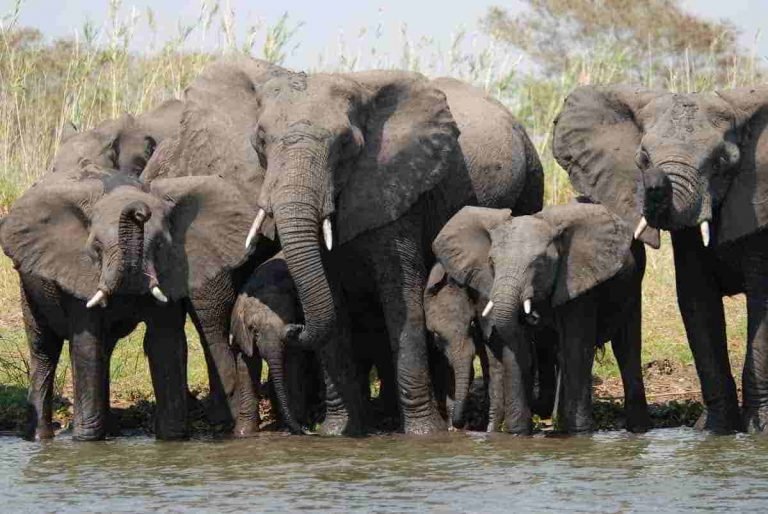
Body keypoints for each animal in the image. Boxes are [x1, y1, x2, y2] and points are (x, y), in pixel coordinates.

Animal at [0, 162, 258, 440]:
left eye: (160, 245)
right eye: (97, 247)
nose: (140, 211)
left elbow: (165, 343)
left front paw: (172, 439)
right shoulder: (80, 274)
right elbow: (86, 344)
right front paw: (87, 441)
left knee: (104, 348)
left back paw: (111, 432)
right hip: (28, 285)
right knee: (44, 349)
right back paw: (40, 437)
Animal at [210, 56, 543, 435]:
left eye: (345, 143)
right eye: (261, 141)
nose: (294, 327)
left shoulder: (396, 187)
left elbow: (402, 298)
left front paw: (425, 435)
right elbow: (331, 298)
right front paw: (337, 432)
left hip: (530, 181)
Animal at [431, 203, 650, 434]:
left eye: (540, 263)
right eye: (491, 262)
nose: (534, 317)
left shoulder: (576, 281)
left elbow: (575, 348)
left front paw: (580, 433)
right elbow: (515, 349)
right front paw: (517, 433)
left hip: (633, 286)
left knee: (626, 348)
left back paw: (637, 429)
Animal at [552, 85, 768, 434]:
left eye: (722, 162)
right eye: (642, 157)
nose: (651, 176)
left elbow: (762, 304)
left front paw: (757, 429)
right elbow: (697, 301)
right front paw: (715, 431)